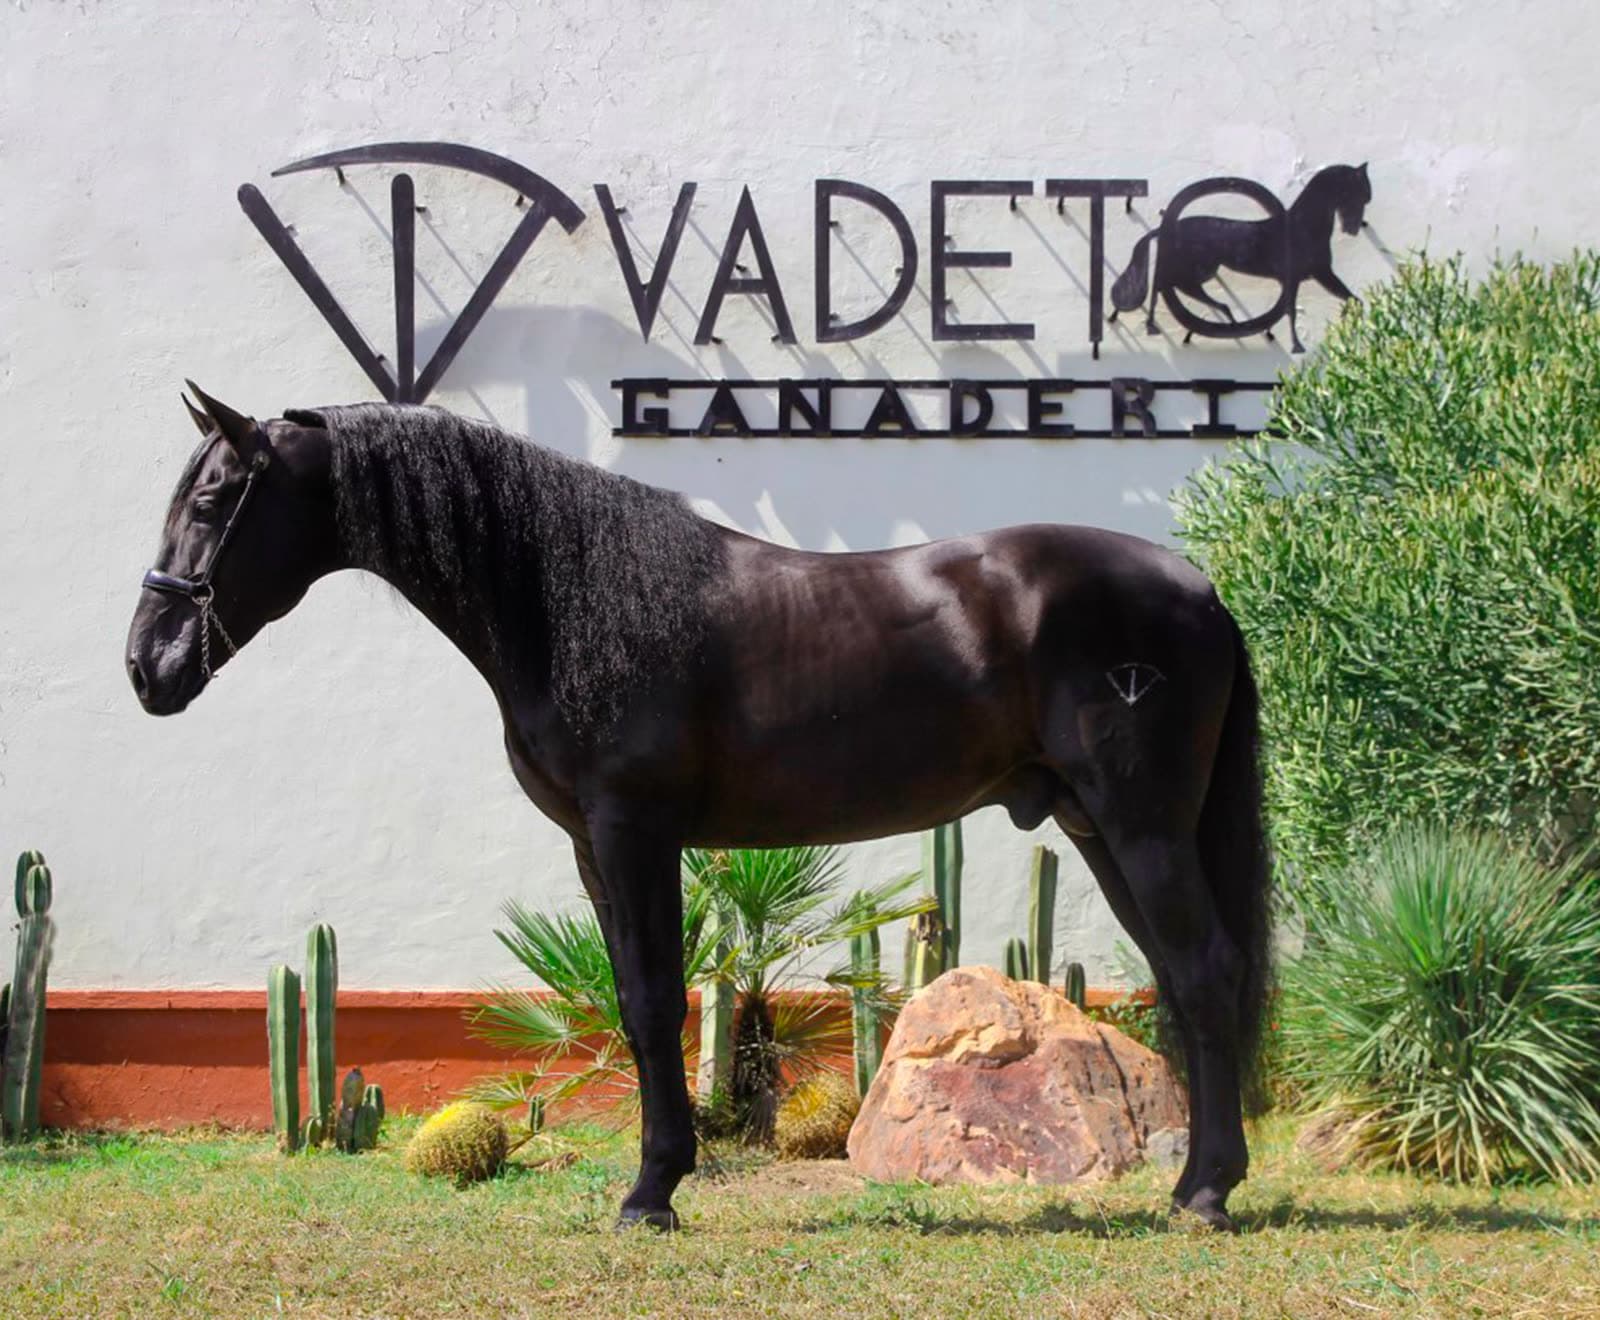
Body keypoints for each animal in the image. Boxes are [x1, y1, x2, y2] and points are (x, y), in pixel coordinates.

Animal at [126, 386, 1271, 1232]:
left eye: (215, 498)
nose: (148, 667)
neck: (570, 601)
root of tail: (1203, 591)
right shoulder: (594, 848)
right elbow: (638, 1001)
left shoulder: (636, 831)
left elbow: (647, 1004)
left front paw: (651, 1195)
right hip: (1099, 830)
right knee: (1181, 981)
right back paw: (1189, 1187)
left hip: (1142, 827)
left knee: (1205, 973)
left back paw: (1209, 1194)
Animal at [1110, 163, 1372, 353]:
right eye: (1354, 193)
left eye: (1366, 198)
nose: (1353, 228)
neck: (1304, 225)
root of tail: (1166, 228)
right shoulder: (1307, 274)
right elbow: (1293, 309)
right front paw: (1298, 344)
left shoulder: (1315, 274)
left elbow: (1350, 298)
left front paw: (1349, 323)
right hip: (1197, 267)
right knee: (1167, 284)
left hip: (1202, 270)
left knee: (1175, 286)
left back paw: (1226, 317)